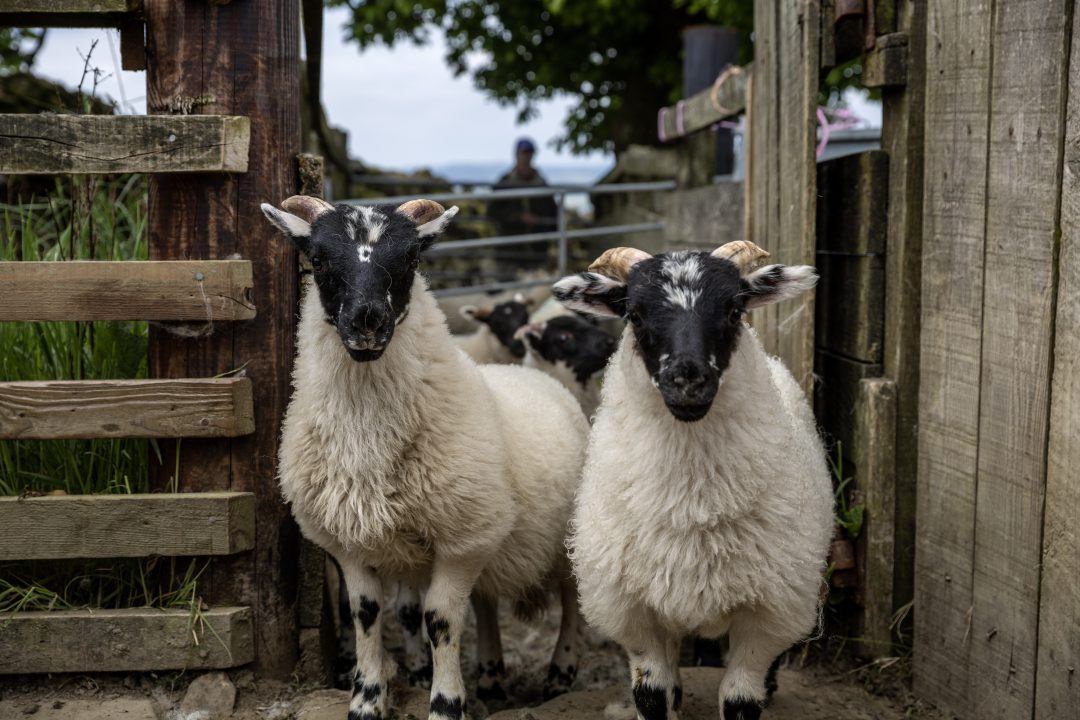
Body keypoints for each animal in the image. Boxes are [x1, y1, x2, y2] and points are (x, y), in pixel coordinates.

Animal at [259, 194, 591, 716]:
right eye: (317, 259)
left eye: (412, 258)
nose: (368, 321)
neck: (366, 437)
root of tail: (532, 374)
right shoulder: (351, 544)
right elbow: (367, 615)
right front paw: (366, 699)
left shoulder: (463, 538)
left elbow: (440, 620)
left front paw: (445, 702)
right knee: (487, 604)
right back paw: (492, 676)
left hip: (563, 537)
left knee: (573, 598)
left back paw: (561, 672)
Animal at [552, 241, 829, 720]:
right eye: (634, 314)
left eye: (735, 309)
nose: (687, 380)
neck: (692, 505)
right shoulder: (634, 613)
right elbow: (652, 694)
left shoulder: (767, 614)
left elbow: (741, 699)